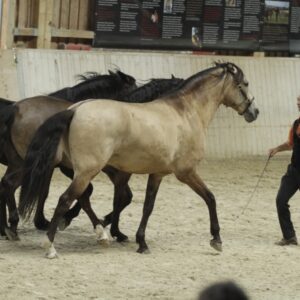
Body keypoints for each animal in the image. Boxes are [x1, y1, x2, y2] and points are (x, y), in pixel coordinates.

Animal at [18, 61, 258, 258]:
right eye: (245, 83)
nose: (254, 112)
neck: (186, 113)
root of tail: (76, 109)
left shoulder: (157, 173)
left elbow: (147, 207)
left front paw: (141, 242)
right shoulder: (186, 172)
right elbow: (210, 198)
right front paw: (216, 240)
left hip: (78, 171)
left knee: (79, 198)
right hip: (86, 171)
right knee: (65, 200)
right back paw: (52, 246)